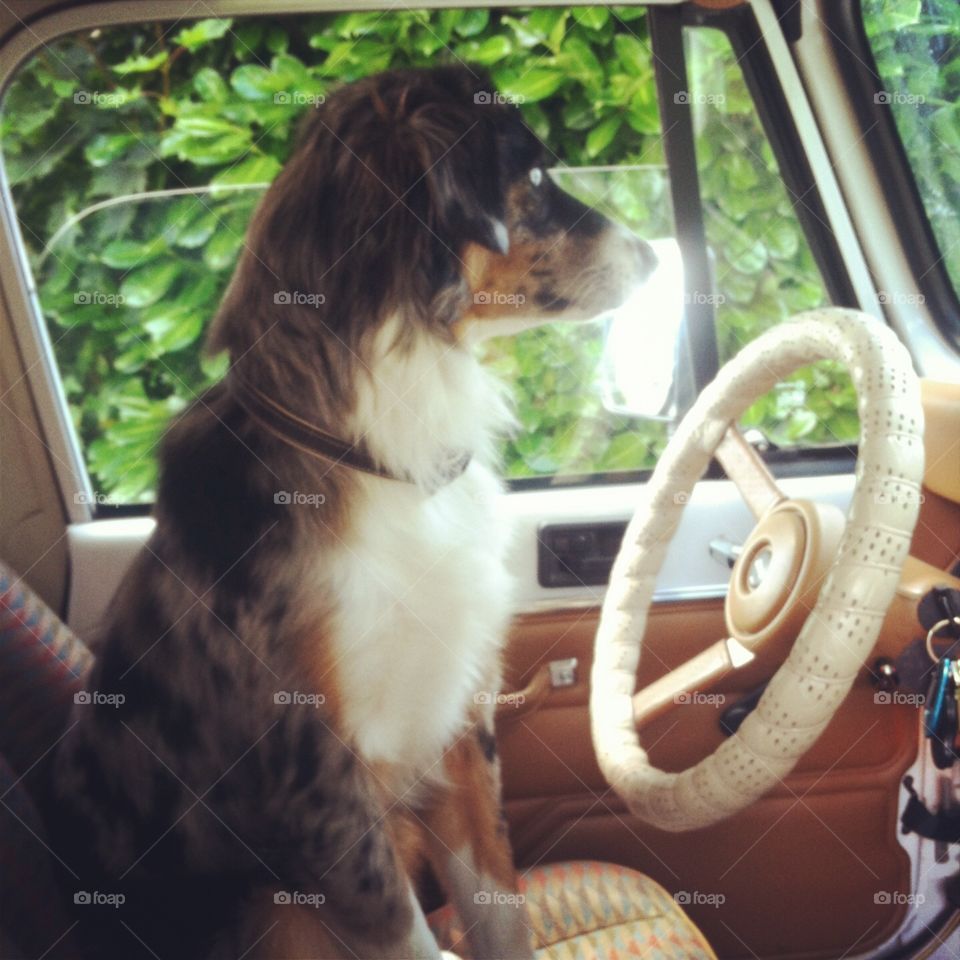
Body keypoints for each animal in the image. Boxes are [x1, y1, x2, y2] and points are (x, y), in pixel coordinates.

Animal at [50, 63, 652, 956]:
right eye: (538, 178)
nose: (654, 255)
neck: (373, 454)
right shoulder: (320, 791)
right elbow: (411, 935)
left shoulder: (459, 725)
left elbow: (500, 907)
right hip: (268, 905)